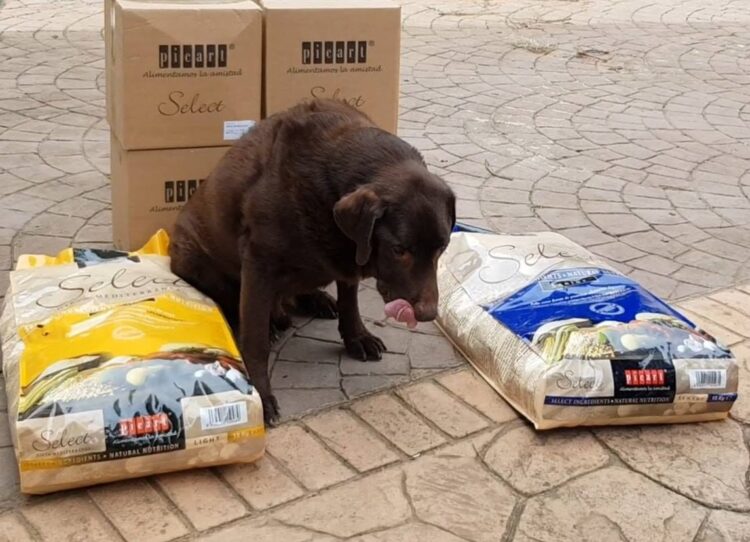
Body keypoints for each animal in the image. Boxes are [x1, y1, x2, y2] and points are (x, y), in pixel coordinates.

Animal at [168, 100, 456, 428]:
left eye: (443, 246)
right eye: (399, 249)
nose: (428, 314)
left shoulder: (348, 254)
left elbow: (350, 301)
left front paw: (357, 337)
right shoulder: (258, 261)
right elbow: (254, 340)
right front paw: (261, 395)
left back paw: (315, 300)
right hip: (195, 258)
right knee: (232, 301)